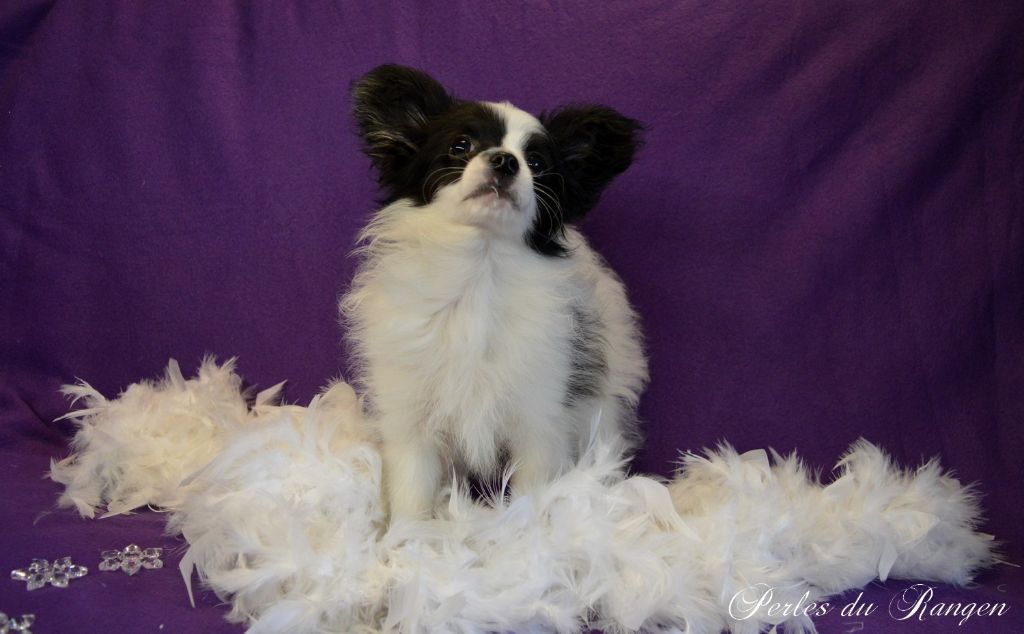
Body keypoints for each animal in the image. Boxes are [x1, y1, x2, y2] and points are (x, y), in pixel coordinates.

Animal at [340, 65, 648, 520]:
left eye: (536, 162)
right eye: (461, 145)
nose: (505, 160)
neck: (480, 270)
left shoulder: (539, 422)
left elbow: (530, 500)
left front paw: (523, 535)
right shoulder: (413, 422)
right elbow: (412, 499)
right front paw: (407, 538)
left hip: (600, 415)